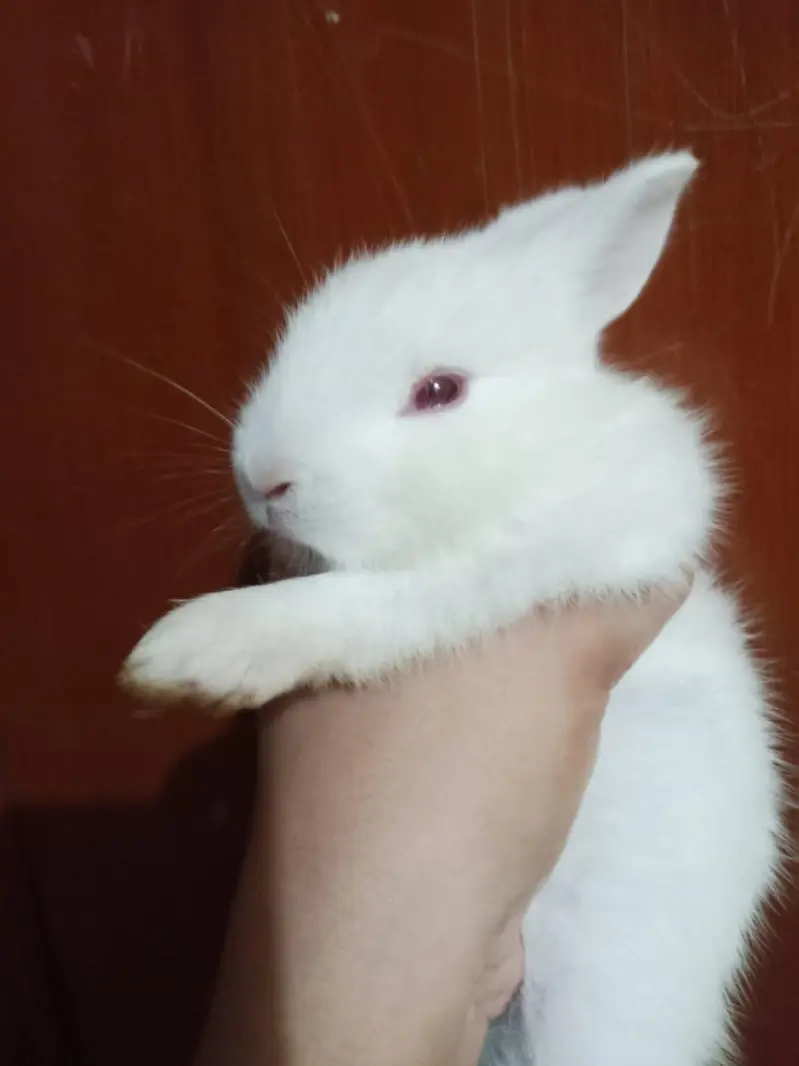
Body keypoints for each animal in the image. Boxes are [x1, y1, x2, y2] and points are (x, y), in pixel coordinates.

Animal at [122, 152, 785, 1066]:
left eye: (439, 390)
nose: (263, 478)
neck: (522, 460)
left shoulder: (518, 565)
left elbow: (376, 605)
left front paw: (194, 653)